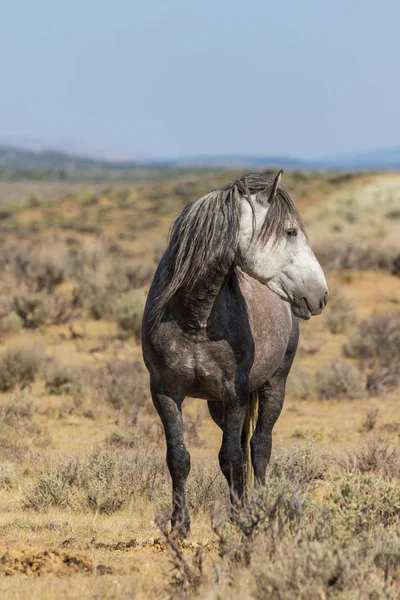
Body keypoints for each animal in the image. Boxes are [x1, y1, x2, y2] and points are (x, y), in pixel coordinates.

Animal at [141, 171, 328, 536]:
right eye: (290, 231)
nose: (321, 295)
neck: (195, 318)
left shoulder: (235, 393)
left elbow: (232, 457)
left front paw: (242, 518)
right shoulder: (164, 393)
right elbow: (179, 458)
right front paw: (179, 524)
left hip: (274, 386)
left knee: (259, 447)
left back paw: (259, 506)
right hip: (216, 405)